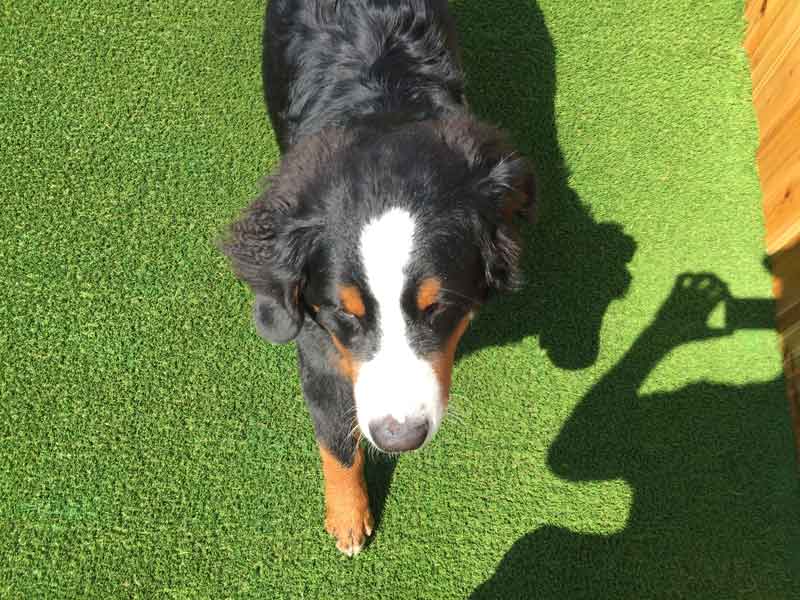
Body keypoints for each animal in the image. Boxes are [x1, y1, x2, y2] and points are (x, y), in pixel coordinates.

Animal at [222, 0, 536, 556]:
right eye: (343, 313)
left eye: (440, 307)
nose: (399, 438)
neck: (378, 102)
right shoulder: (318, 343)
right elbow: (337, 443)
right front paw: (348, 517)